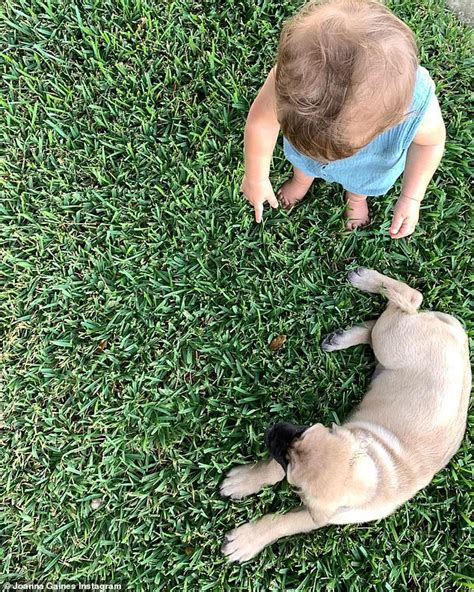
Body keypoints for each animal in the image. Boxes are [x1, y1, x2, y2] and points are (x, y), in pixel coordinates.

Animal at [219, 266, 470, 560]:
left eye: (289, 460)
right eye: (303, 431)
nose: (274, 429)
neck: (372, 474)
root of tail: (458, 335)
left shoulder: (318, 515)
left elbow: (281, 520)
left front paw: (246, 540)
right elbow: (271, 470)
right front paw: (245, 480)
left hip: (390, 344)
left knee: (404, 305)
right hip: (390, 342)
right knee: (407, 301)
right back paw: (362, 285)